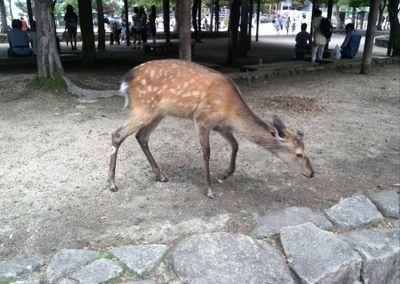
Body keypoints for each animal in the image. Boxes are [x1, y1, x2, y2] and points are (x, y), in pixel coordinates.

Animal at [108, 58, 314, 199]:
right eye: (299, 154)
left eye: (306, 151)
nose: (311, 173)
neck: (230, 110)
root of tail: (125, 81)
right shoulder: (202, 119)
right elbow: (207, 153)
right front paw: (209, 190)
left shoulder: (220, 126)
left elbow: (236, 144)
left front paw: (226, 174)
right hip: (144, 107)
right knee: (117, 134)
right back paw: (112, 184)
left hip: (158, 112)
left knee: (141, 136)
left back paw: (161, 176)